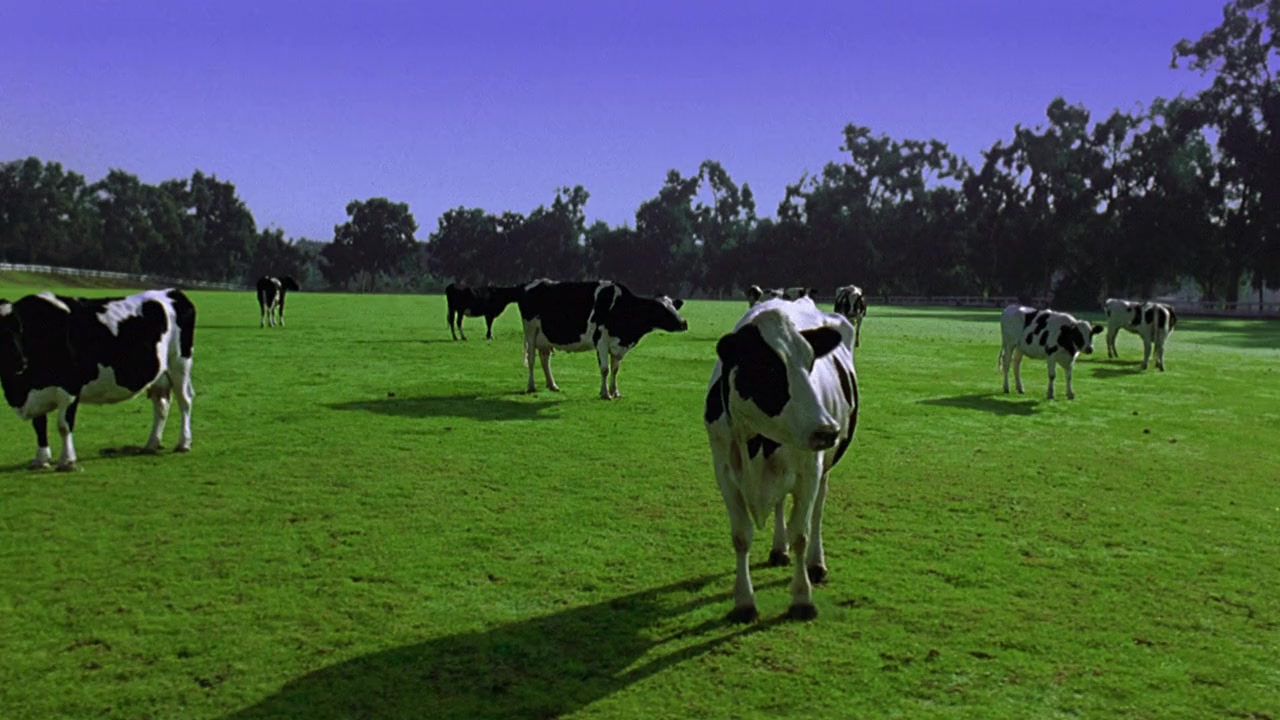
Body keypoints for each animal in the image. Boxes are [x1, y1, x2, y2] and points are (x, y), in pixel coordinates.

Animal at [0, 289, 196, 471]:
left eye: (20, 329)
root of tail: (171, 292)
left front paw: (67, 461)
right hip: (159, 375)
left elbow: (64, 425)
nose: (20, 362)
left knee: (184, 402)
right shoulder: (37, 393)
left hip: (180, 365)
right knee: (161, 406)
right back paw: (152, 444)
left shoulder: (70, 387)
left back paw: (183, 443)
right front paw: (41, 460)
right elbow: (39, 425)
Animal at [518, 279, 688, 399]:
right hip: (530, 331)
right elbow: (605, 369)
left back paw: (552, 385)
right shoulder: (601, 341)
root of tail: (529, 284)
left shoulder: (618, 346)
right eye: (662, 309)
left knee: (544, 359)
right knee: (532, 359)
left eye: (674, 306)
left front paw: (615, 392)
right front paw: (605, 394)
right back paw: (531, 386)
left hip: (544, 337)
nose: (683, 323)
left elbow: (615, 369)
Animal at [705, 297, 859, 622]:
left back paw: (816, 564)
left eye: (811, 362)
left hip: (824, 469)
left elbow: (800, 533)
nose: (827, 430)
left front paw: (802, 599)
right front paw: (744, 602)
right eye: (768, 368)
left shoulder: (809, 471)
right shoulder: (724, 471)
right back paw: (779, 549)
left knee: (817, 513)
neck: (759, 443)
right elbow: (741, 536)